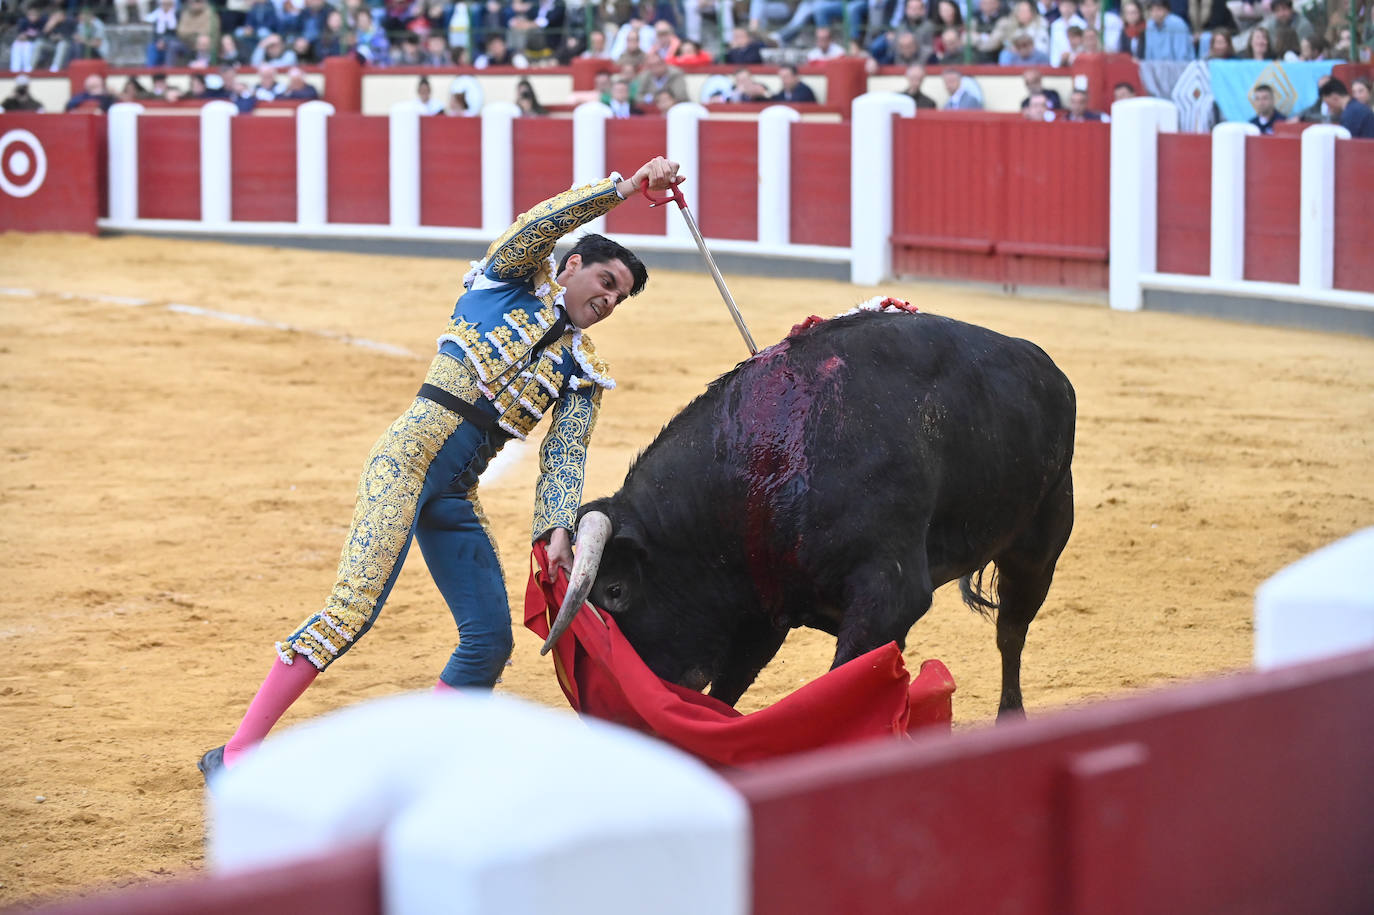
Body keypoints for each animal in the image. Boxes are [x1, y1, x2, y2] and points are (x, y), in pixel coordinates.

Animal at [544, 310, 1071, 714]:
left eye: (615, 591)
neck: (766, 460)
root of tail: (1048, 369)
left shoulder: (889, 597)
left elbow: (844, 682)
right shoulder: (759, 605)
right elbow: (728, 688)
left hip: (1038, 549)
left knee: (1011, 633)